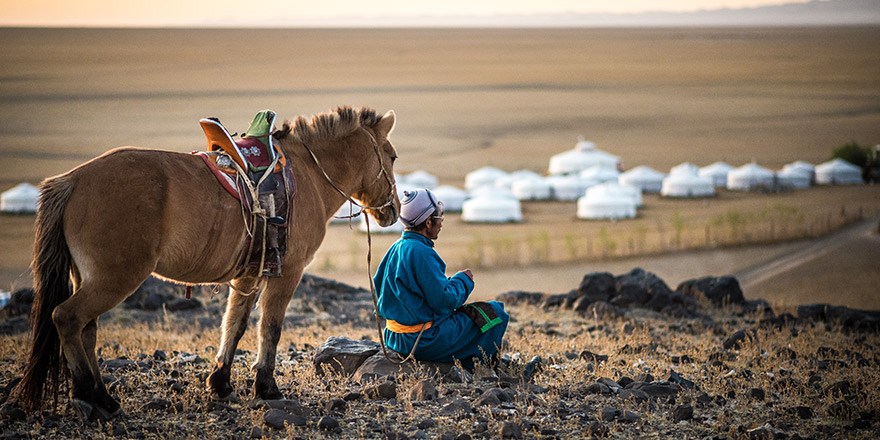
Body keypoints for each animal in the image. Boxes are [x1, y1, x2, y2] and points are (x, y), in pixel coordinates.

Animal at [9, 105, 402, 420]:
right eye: (393, 156)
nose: (394, 211)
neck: (307, 174)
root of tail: (73, 180)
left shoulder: (249, 275)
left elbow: (235, 325)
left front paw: (221, 383)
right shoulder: (287, 273)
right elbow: (270, 328)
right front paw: (267, 387)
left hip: (88, 277)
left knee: (86, 330)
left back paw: (104, 398)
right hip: (115, 278)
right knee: (67, 317)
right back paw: (88, 396)